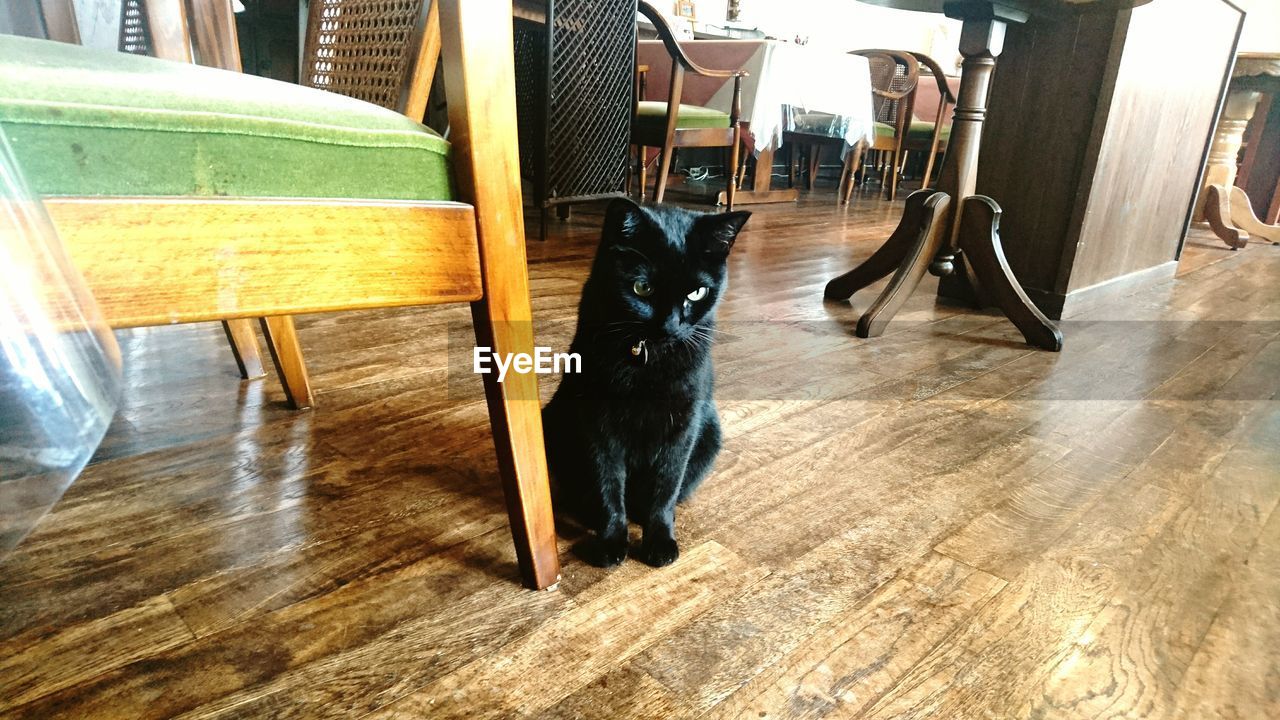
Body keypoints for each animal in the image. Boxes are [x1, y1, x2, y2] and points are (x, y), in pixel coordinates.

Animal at [542, 197, 747, 566]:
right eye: (643, 288)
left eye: (697, 292)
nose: (670, 324)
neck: (649, 358)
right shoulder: (599, 427)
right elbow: (608, 485)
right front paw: (611, 540)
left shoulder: (683, 426)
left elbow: (665, 487)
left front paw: (660, 539)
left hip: (710, 434)